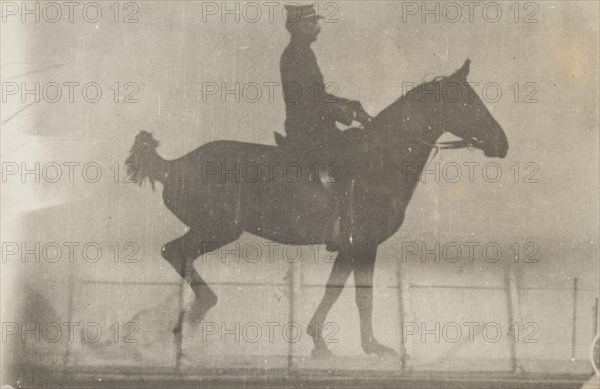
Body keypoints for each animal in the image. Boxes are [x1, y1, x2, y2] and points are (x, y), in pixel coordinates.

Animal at [125, 59, 506, 360]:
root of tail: (173, 166)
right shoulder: (365, 244)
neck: (380, 160)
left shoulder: (352, 247)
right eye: (467, 102)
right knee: (175, 252)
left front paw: (328, 342)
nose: (502, 143)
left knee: (179, 256)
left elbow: (338, 290)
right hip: (217, 230)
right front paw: (366, 346)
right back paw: (195, 312)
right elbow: (359, 295)